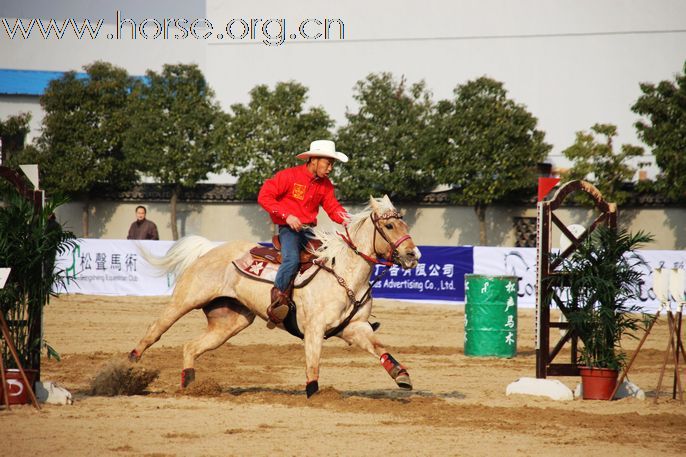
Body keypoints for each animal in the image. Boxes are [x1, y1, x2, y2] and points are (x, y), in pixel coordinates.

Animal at [127, 195, 422, 396]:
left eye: (404, 223)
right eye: (390, 226)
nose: (413, 255)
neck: (343, 274)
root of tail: (209, 249)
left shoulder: (355, 327)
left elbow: (380, 348)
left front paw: (402, 375)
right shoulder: (314, 329)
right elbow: (312, 364)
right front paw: (314, 395)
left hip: (230, 322)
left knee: (191, 347)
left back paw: (189, 385)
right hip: (185, 300)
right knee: (156, 329)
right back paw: (130, 364)